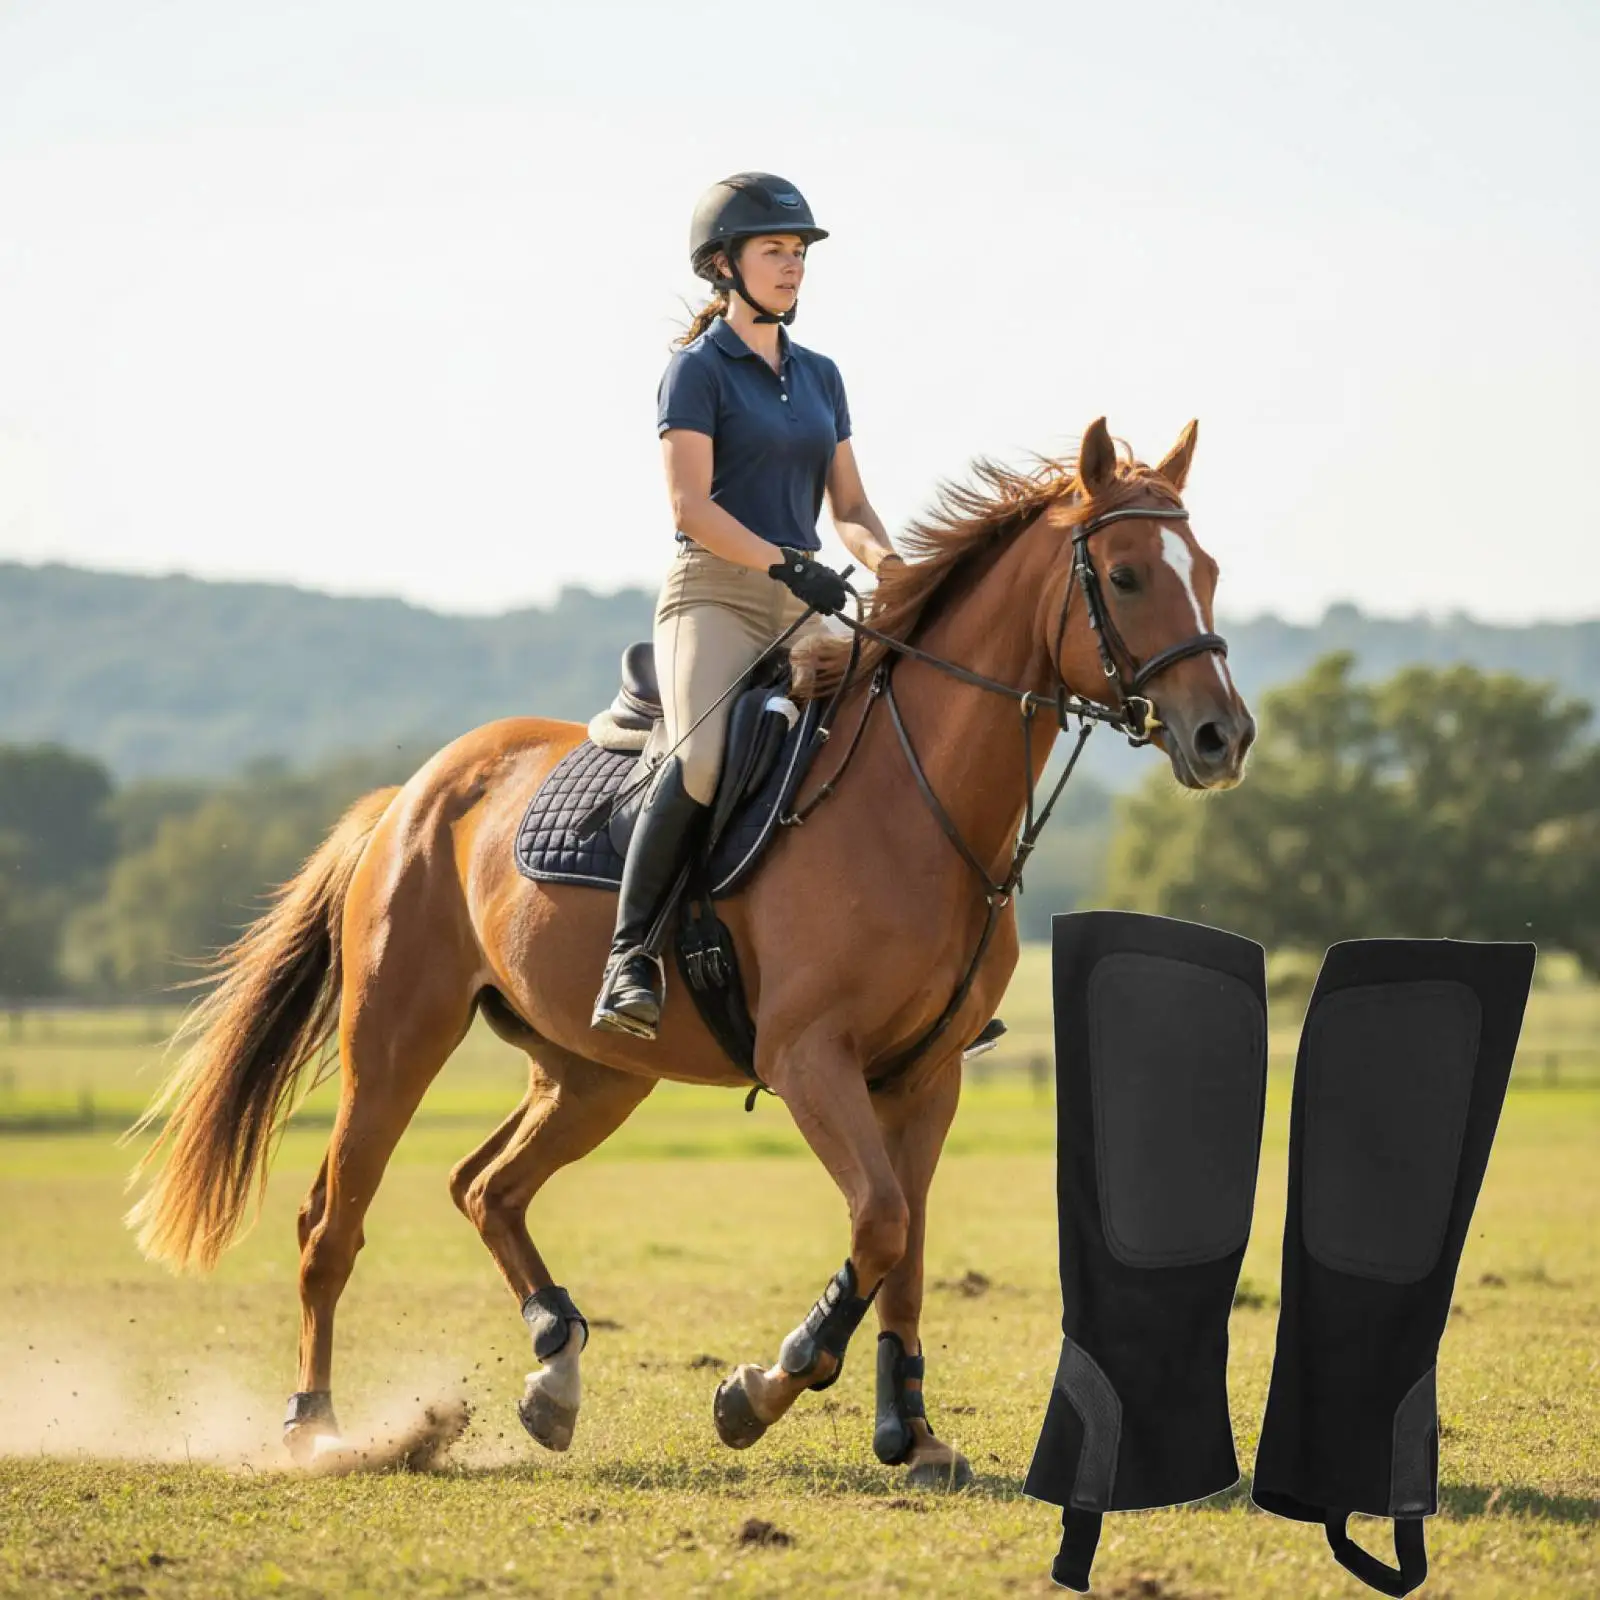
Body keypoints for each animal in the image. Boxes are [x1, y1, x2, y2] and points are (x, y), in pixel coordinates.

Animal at [126, 416, 1255, 1490]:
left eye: (1206, 569)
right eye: (1125, 575)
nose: (1223, 738)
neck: (919, 804)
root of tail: (410, 794)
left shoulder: (924, 1078)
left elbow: (908, 1248)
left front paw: (913, 1432)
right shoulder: (809, 1059)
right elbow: (881, 1224)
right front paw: (761, 1390)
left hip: (593, 1074)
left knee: (486, 1187)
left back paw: (554, 1367)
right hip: (396, 1040)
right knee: (331, 1225)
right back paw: (317, 1429)